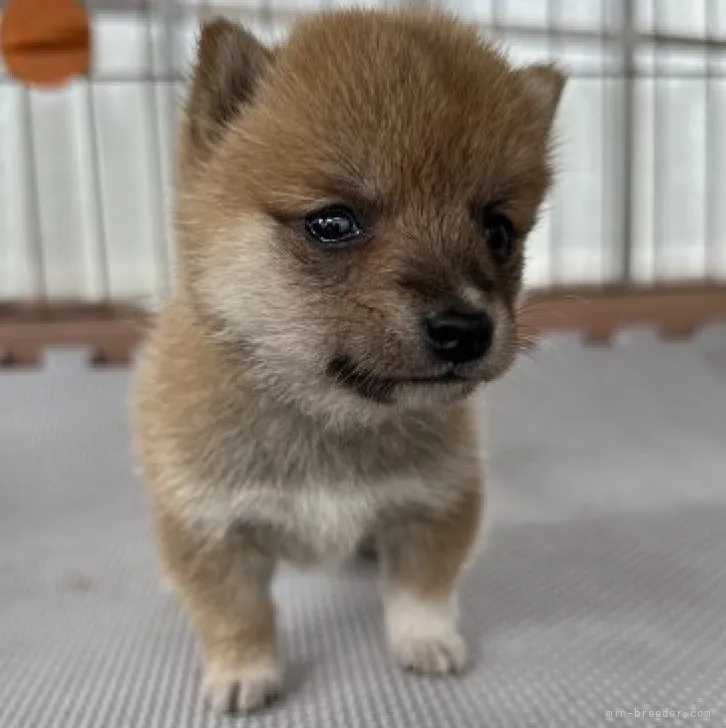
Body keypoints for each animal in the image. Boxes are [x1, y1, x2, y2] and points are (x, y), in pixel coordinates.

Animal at [132, 8, 564, 712]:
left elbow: (421, 591)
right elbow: (236, 614)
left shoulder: (434, 504)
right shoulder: (210, 528)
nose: (466, 329)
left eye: (498, 230)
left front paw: (426, 642)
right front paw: (244, 671)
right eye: (333, 223)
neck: (332, 421)